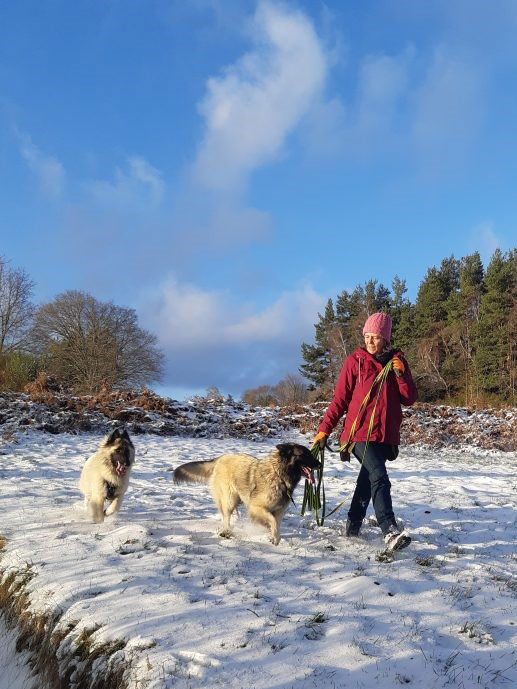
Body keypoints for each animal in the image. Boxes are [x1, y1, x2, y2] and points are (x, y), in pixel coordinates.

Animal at [173, 444, 318, 544]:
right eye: (304, 455)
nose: (320, 465)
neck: (279, 475)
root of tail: (220, 459)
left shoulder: (279, 510)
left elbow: (276, 523)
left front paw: (273, 535)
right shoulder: (256, 507)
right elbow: (271, 520)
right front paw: (273, 535)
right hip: (230, 499)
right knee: (226, 516)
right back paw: (227, 532)